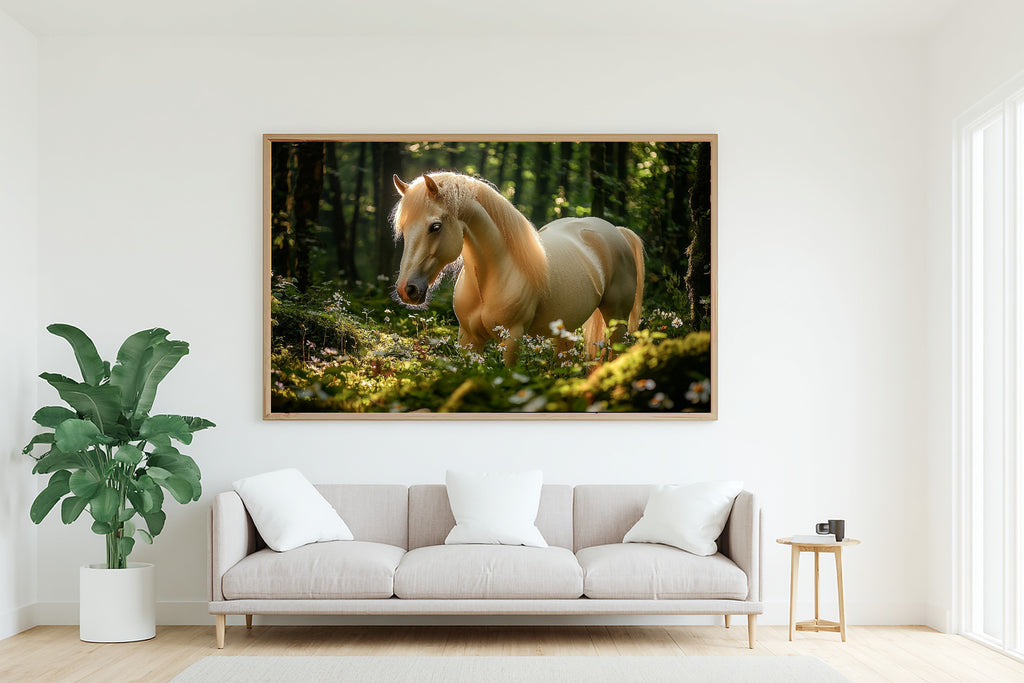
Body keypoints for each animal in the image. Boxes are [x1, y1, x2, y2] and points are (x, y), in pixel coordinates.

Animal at [391, 172, 645, 365]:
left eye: (435, 226)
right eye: (404, 229)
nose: (407, 289)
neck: (489, 279)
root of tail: (615, 230)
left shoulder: (512, 338)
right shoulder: (468, 339)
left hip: (617, 321)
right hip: (566, 330)